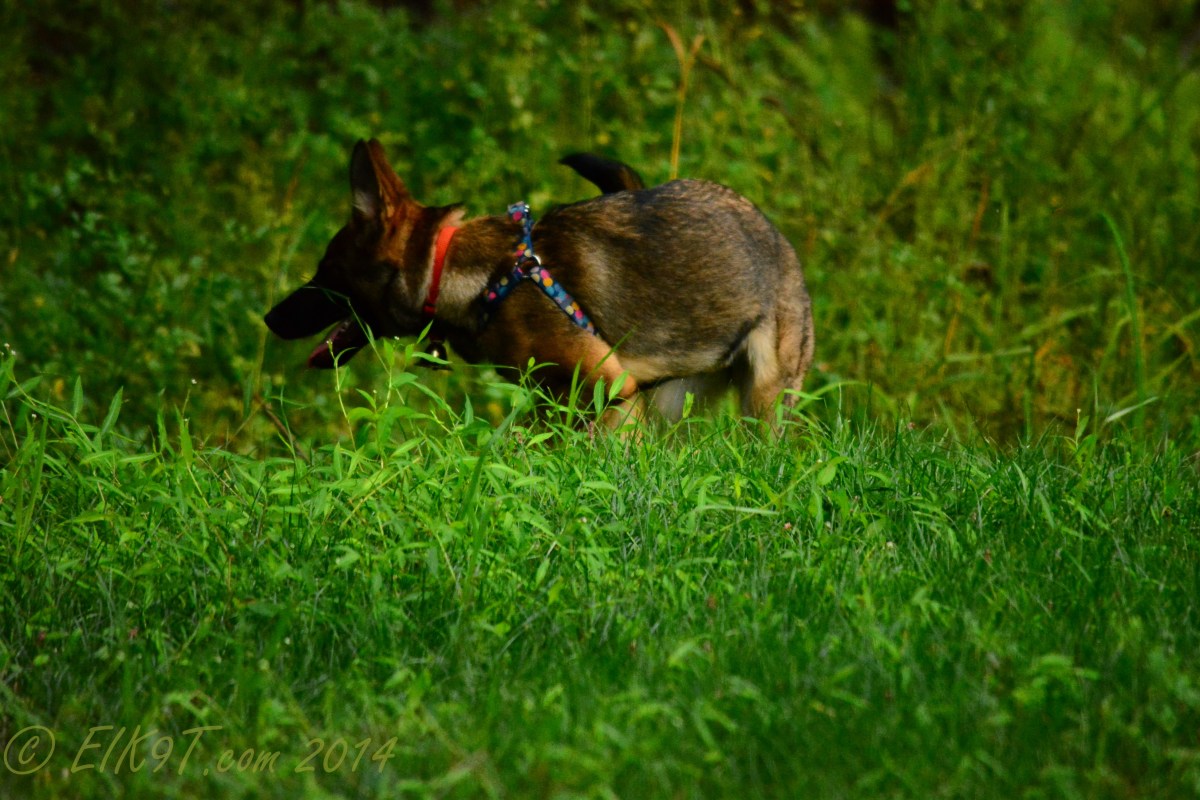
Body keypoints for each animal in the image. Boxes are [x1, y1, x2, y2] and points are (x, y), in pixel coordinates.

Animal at [264, 139, 814, 427]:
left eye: (325, 273)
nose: (269, 318)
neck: (483, 280)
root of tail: (772, 231)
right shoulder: (564, 402)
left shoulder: (610, 392)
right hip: (671, 401)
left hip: (764, 399)